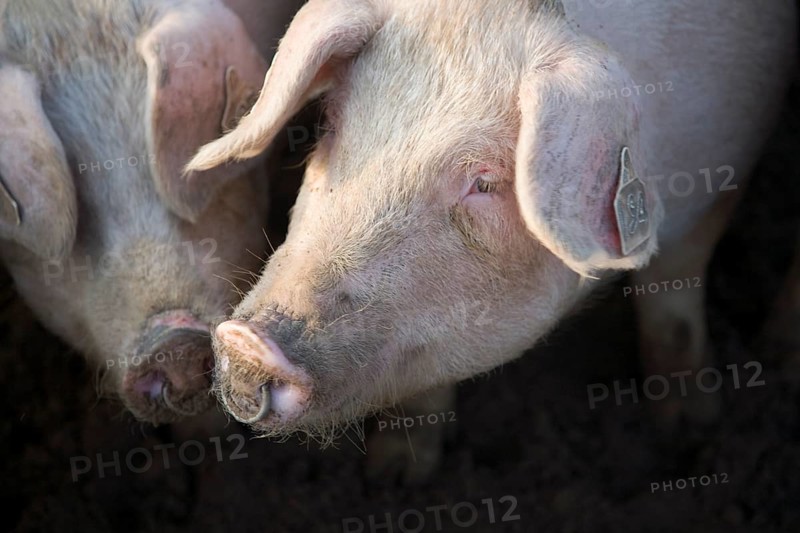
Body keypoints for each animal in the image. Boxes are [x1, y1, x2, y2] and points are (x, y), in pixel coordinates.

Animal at [187, 0, 796, 455]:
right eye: (334, 124)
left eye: (483, 181)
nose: (244, 343)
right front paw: (395, 473)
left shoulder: (728, 167)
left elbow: (673, 302)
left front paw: (691, 429)